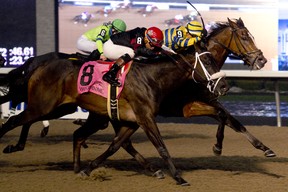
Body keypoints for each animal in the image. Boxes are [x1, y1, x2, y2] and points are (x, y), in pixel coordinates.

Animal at [0, 41, 227, 185]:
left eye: (216, 60)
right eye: (208, 62)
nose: (224, 86)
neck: (152, 77)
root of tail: (39, 65)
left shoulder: (132, 121)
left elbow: (115, 145)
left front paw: (88, 169)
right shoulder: (145, 118)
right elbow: (161, 147)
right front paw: (179, 178)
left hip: (60, 108)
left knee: (74, 134)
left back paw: (75, 167)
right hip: (44, 106)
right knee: (12, 121)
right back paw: (12, 147)